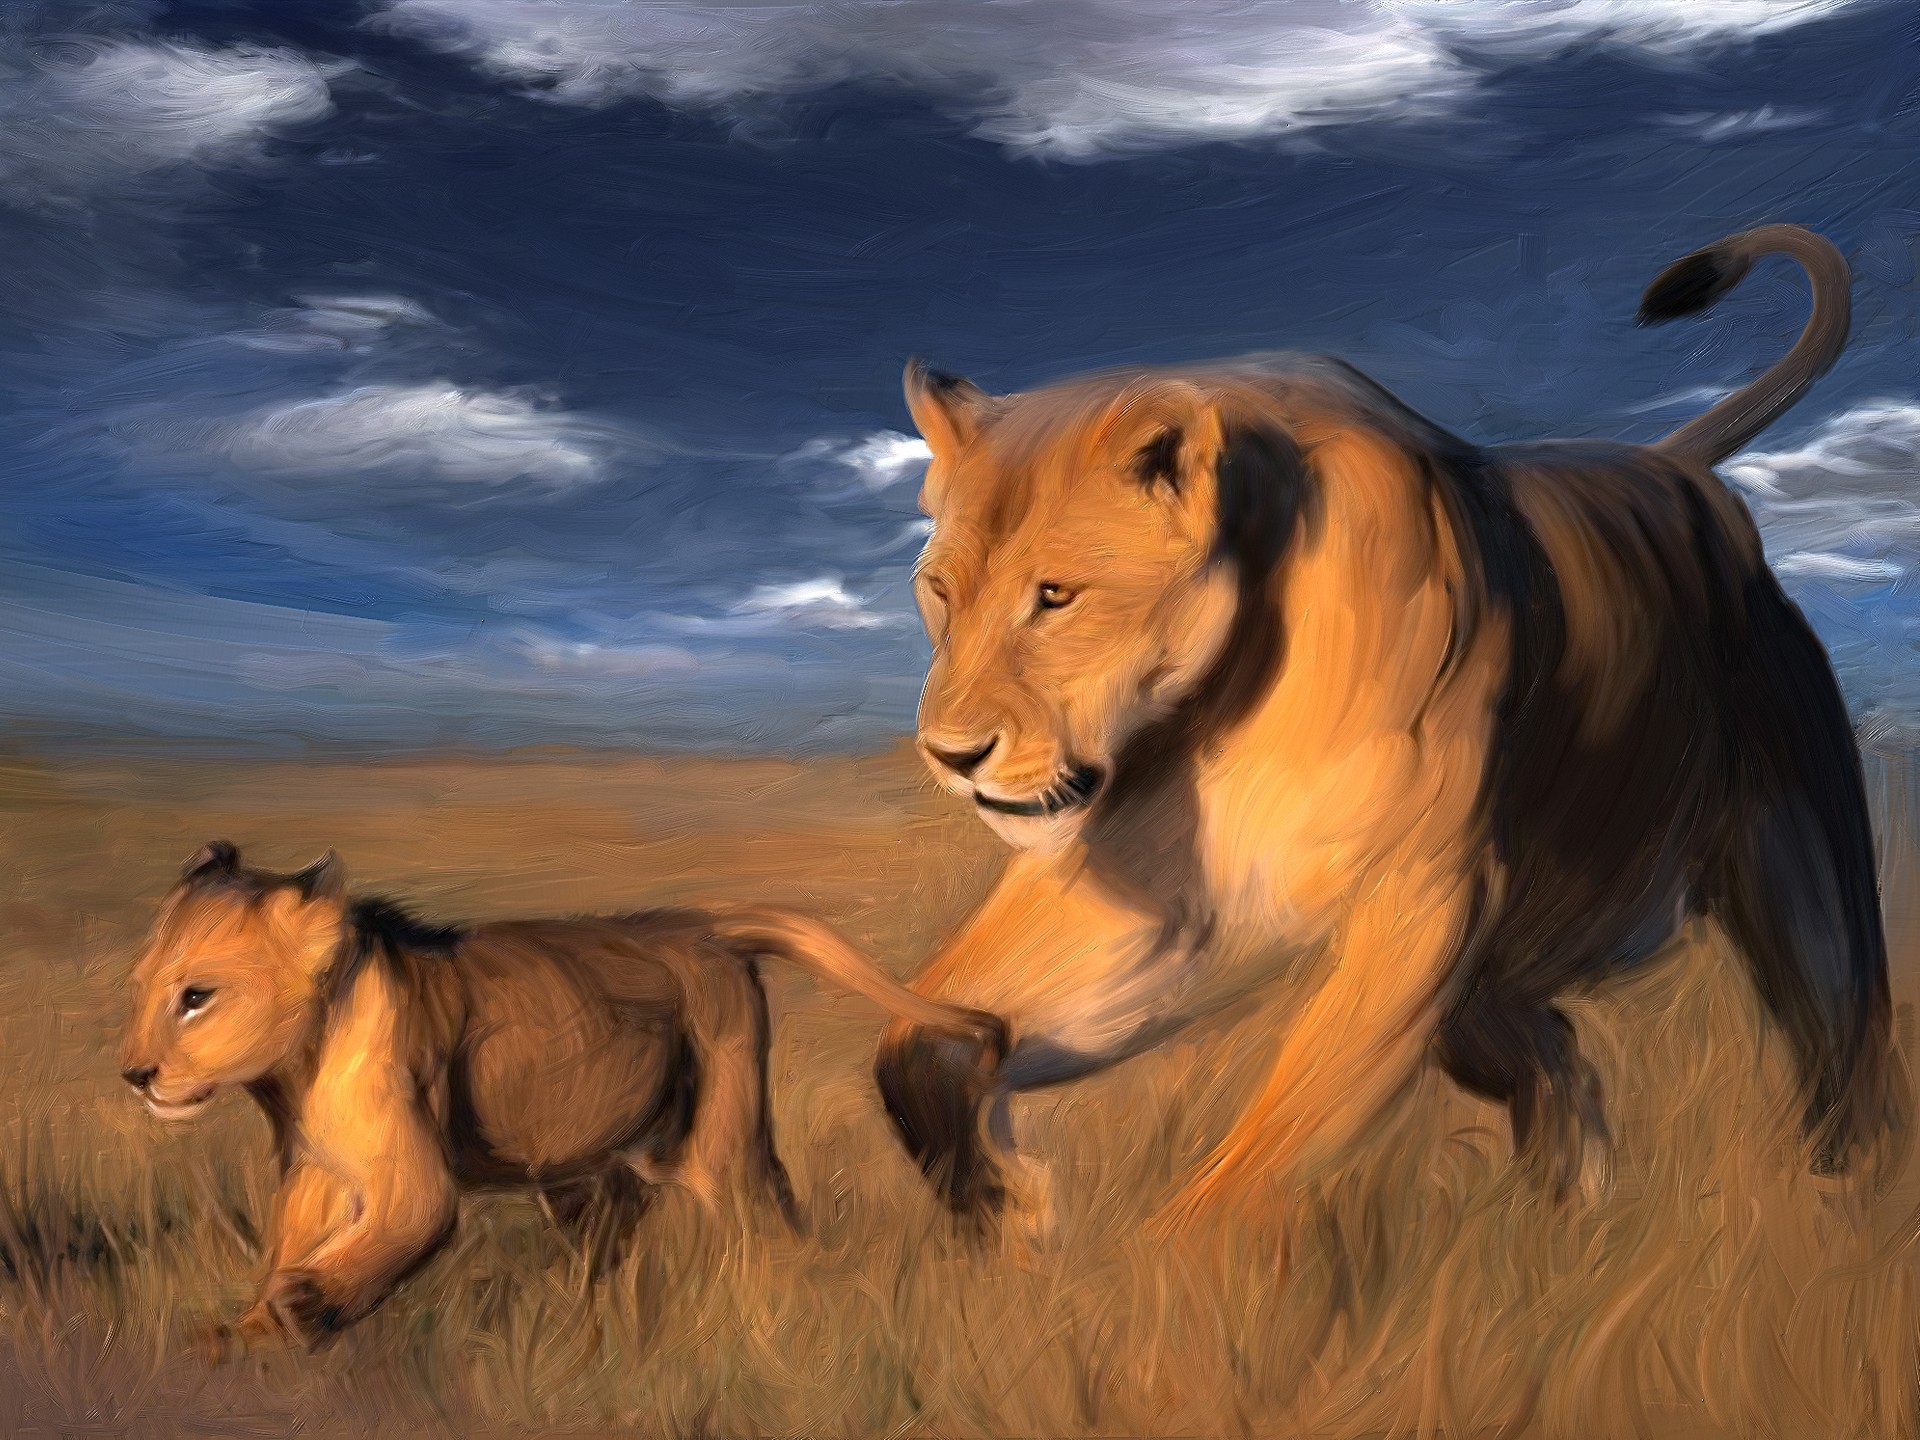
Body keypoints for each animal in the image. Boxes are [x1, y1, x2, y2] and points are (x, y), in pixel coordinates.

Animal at [119, 841, 1003, 1352]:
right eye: (139, 990)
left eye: (196, 997)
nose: (135, 1073)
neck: (296, 1070)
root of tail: (699, 923)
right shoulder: (315, 1172)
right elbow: (287, 1247)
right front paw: (239, 1333)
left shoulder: (413, 1182)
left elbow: (383, 1240)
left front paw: (303, 1308)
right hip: (592, 1168)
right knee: (617, 1234)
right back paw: (593, 1318)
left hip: (716, 1141)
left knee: (769, 1219)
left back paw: (785, 1310)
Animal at [872, 223, 1904, 1245]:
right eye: (940, 593)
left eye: (1055, 596)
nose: (951, 756)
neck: (1216, 702)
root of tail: (1674, 468)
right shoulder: (1162, 903)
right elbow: (916, 1037)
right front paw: (1010, 1208)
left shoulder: (1420, 897)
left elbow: (1255, 1166)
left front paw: (1142, 1273)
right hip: (1496, 985)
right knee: (1560, 1059)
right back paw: (1568, 1223)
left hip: (1796, 871)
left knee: (1846, 1052)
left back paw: (1838, 1216)